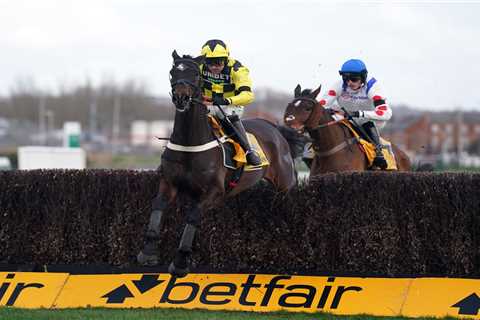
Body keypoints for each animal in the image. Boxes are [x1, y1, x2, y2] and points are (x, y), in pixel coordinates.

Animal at [137, 50, 298, 278]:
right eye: (172, 72)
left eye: (195, 74)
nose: (181, 97)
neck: (191, 142)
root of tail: (275, 128)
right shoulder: (169, 183)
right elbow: (157, 205)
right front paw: (148, 252)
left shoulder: (214, 191)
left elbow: (193, 215)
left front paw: (180, 262)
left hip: (285, 184)